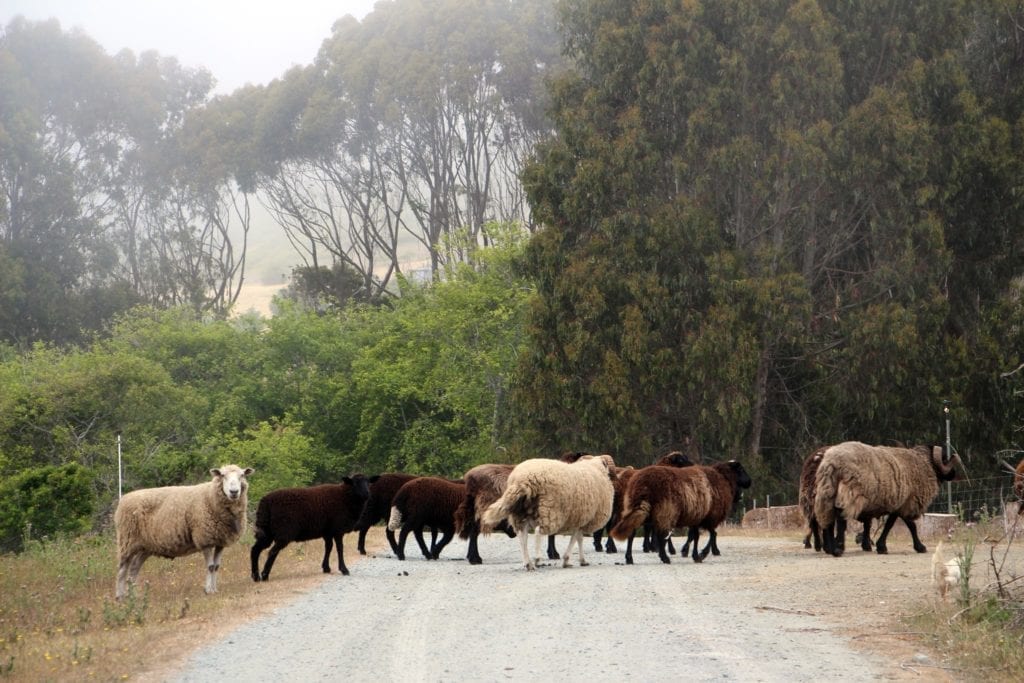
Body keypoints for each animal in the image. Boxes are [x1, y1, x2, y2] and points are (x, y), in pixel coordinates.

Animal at [114, 464, 251, 598]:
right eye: (223, 476)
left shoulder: (220, 541)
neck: (211, 497)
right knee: (122, 569)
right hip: (127, 539)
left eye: (242, 475)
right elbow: (210, 567)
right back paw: (120, 596)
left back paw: (133, 595)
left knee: (134, 567)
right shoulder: (204, 539)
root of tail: (123, 499)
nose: (234, 492)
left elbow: (216, 567)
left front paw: (214, 589)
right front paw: (208, 590)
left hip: (146, 546)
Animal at [479, 454, 614, 573]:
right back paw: (537, 559)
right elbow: (575, 539)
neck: (596, 469)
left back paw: (528, 563)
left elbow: (578, 539)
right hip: (549, 510)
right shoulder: (583, 519)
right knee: (538, 532)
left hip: (521, 514)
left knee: (522, 536)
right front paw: (568, 560)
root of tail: (523, 480)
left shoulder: (580, 520)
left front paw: (580, 560)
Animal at [606, 458, 753, 565]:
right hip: (665, 511)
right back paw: (665, 557)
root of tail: (642, 485)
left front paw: (693, 553)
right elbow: (710, 535)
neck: (723, 480)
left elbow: (697, 536)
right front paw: (701, 554)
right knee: (661, 536)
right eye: (741, 469)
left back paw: (629, 558)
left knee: (632, 533)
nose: (750, 482)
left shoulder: (698, 517)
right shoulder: (709, 516)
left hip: (635, 508)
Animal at [811, 440, 962, 557]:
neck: (923, 465)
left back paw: (830, 548)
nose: (955, 474)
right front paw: (917, 547)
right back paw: (838, 549)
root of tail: (832, 462)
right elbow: (902, 525)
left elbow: (897, 524)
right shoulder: (905, 503)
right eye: (944, 459)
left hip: (827, 491)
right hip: (850, 493)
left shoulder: (900, 504)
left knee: (828, 518)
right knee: (840, 517)